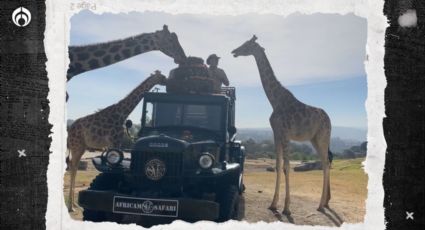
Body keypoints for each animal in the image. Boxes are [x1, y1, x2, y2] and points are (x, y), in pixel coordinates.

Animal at [65, 70, 166, 212]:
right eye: (162, 76)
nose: (167, 81)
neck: (123, 113)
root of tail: (70, 130)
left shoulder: (113, 143)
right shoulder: (115, 141)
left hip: (82, 146)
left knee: (73, 167)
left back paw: (74, 205)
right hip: (77, 146)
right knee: (73, 167)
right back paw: (71, 207)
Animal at [230, 35, 332, 215]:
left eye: (247, 44)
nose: (234, 51)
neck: (274, 100)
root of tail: (330, 120)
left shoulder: (285, 134)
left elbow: (287, 166)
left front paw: (286, 208)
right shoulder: (276, 134)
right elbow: (278, 166)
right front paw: (273, 204)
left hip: (322, 137)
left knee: (326, 164)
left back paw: (320, 205)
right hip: (314, 139)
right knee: (325, 162)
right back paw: (325, 203)